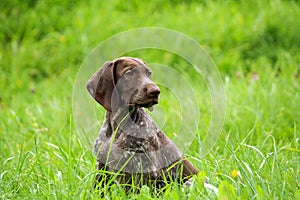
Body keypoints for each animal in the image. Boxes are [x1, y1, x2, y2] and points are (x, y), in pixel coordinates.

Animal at [85, 57, 198, 191]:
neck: (117, 127)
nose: (155, 91)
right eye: (129, 73)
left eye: (149, 73)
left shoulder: (144, 171)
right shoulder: (102, 168)